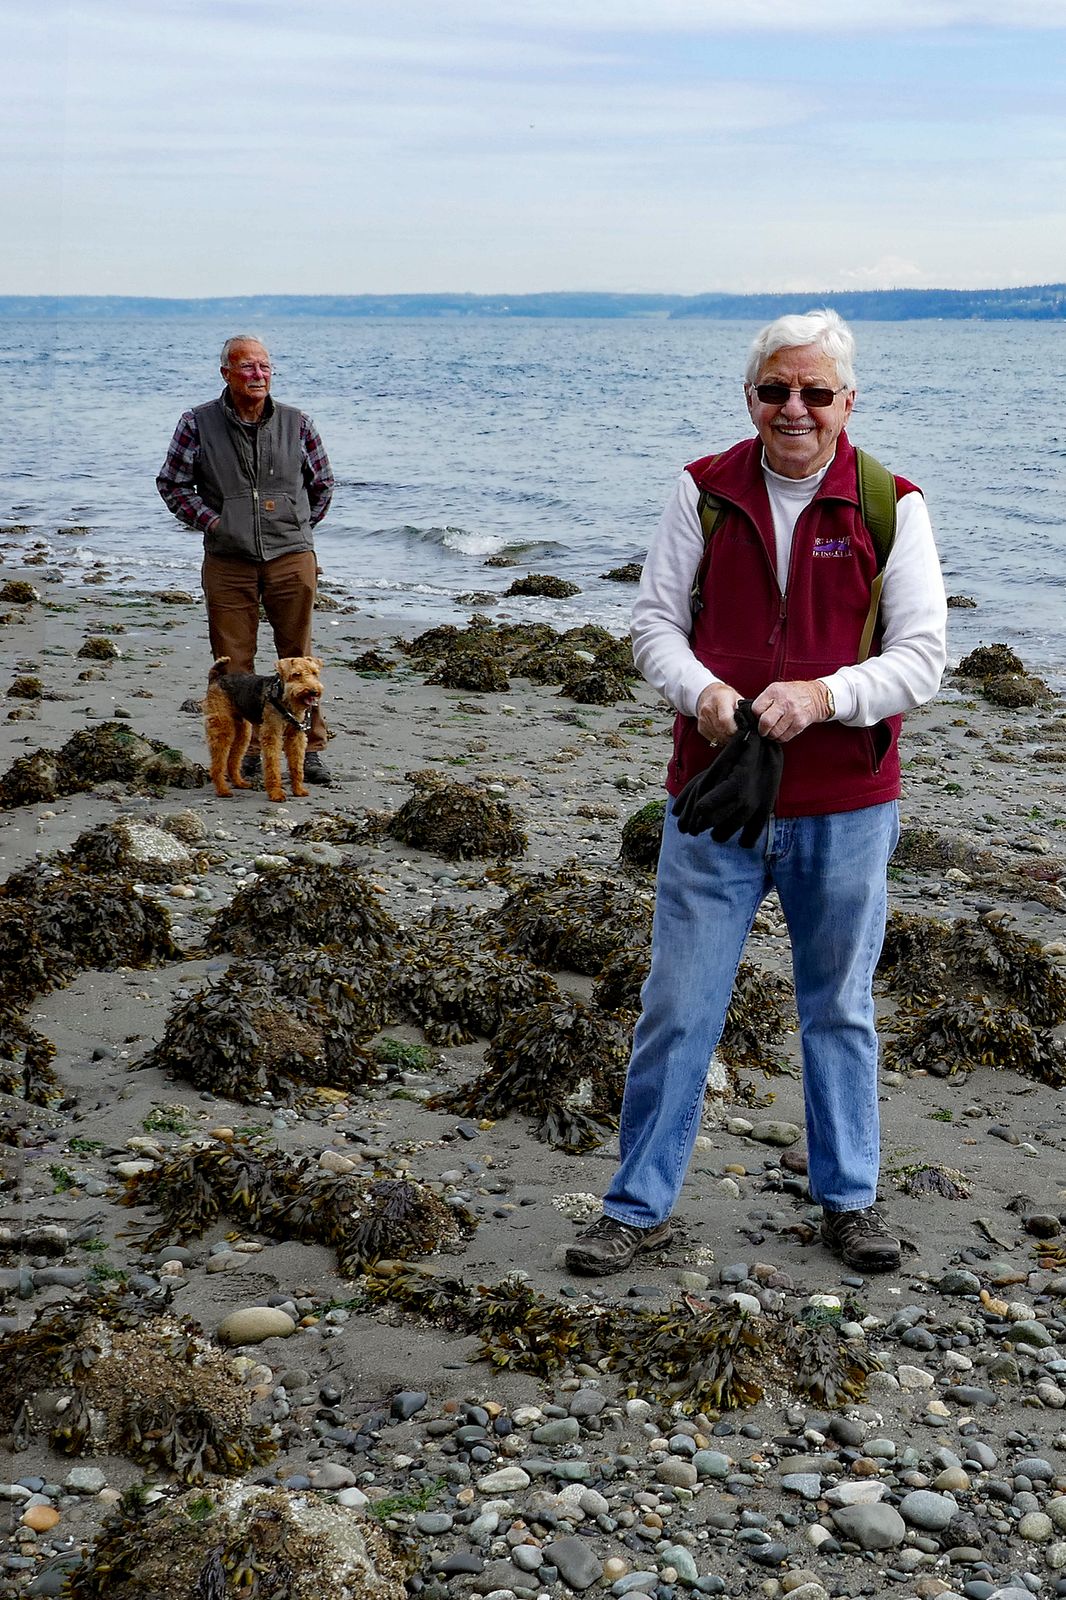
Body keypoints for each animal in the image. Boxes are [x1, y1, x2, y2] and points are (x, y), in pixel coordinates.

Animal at [202, 652, 320, 800]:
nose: (313, 691)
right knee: (218, 763)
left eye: (314, 673)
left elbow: (297, 766)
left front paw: (299, 790)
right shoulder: (272, 734)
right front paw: (276, 793)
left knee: (233, 760)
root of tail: (216, 677)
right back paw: (223, 790)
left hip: (243, 731)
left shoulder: (296, 735)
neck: (285, 699)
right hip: (222, 726)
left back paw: (239, 783)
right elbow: (272, 765)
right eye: (296, 674)